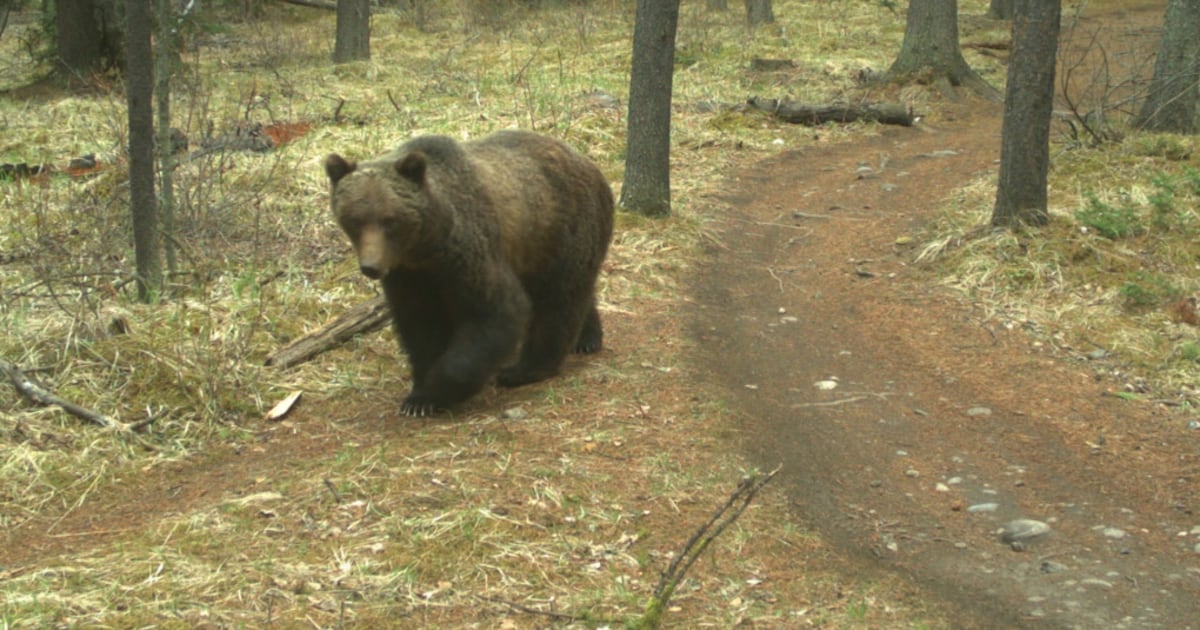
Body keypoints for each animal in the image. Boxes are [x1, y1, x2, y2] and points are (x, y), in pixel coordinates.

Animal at [323, 129, 615, 417]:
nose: (371, 266)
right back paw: (586, 338)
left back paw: (526, 368)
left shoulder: (468, 255)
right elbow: (420, 327)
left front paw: (437, 391)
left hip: (561, 229)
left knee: (559, 298)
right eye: (355, 219)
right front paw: (417, 397)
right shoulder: (408, 276)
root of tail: (586, 160)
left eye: (389, 220)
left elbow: (496, 311)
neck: (426, 248)